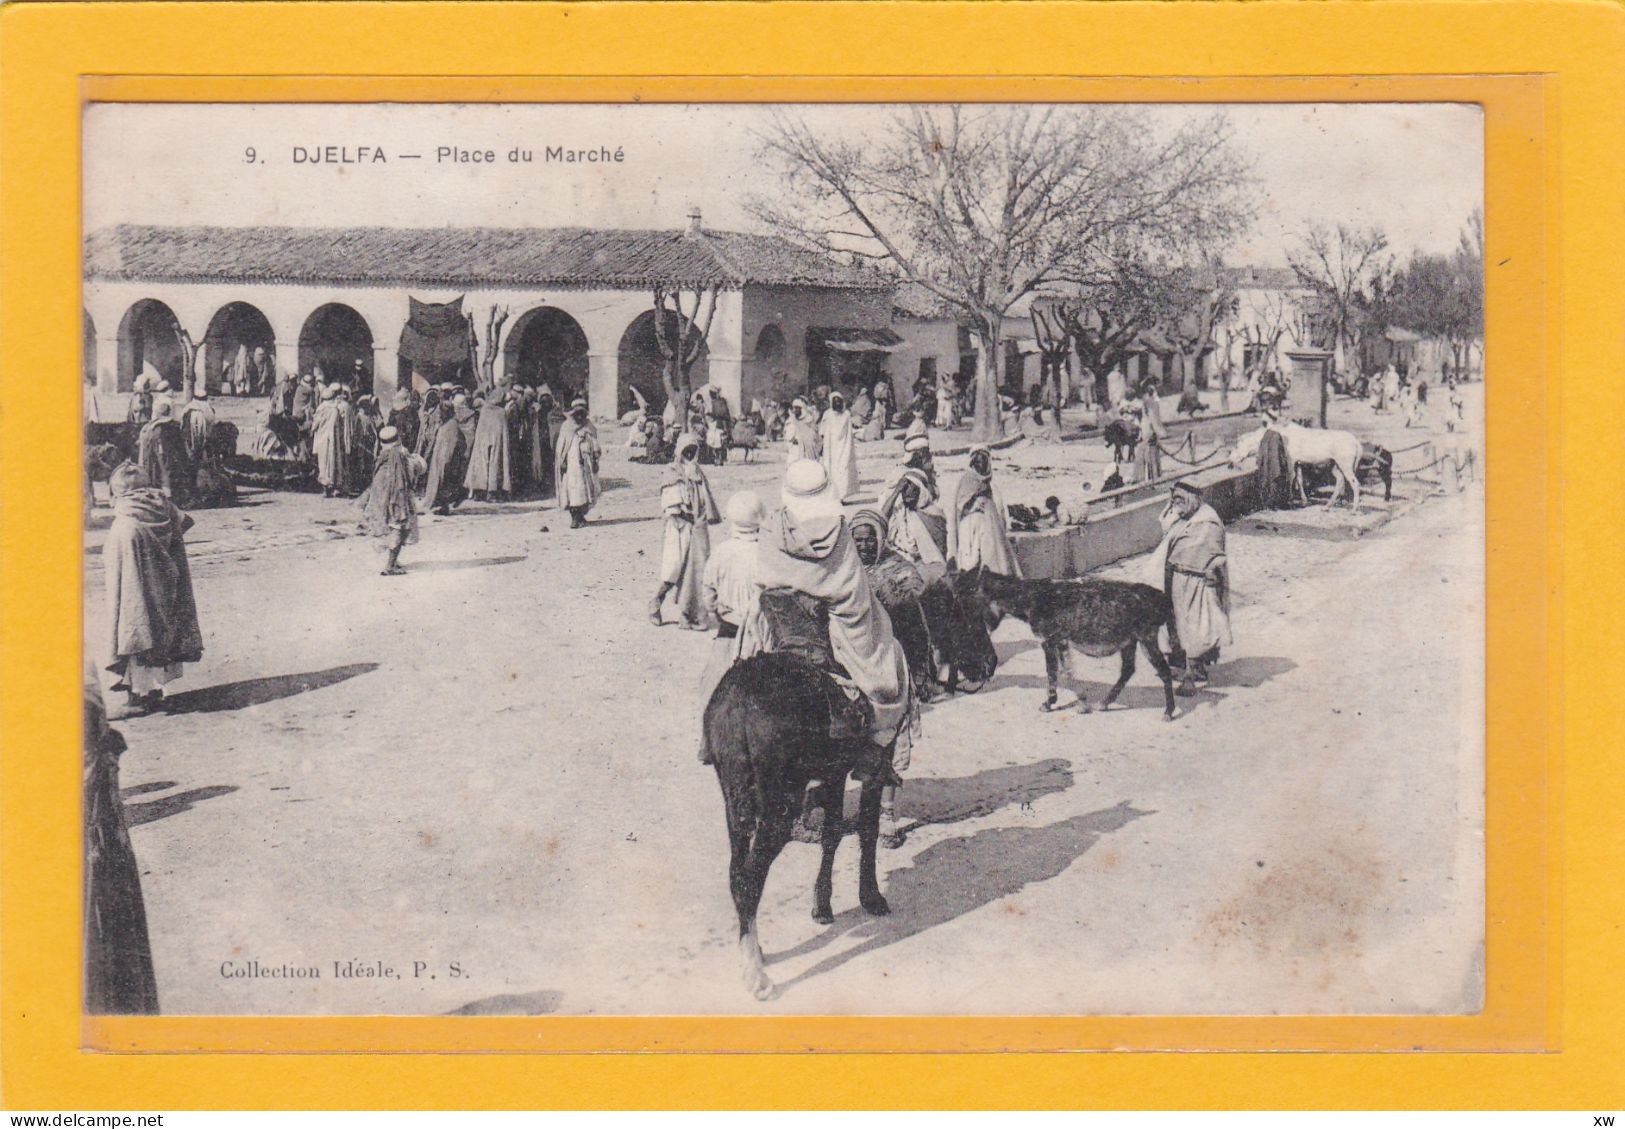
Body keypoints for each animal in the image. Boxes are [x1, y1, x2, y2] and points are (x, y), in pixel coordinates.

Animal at [1235, 422, 1365, 513]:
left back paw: (1354, 509)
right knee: (1340, 481)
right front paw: (1303, 501)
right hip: (1336, 465)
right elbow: (1299, 480)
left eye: (1236, 446)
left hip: (1345, 464)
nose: (1231, 461)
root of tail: (1357, 442)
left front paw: (1291, 501)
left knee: (1355, 483)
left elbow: (1291, 478)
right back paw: (1327, 506)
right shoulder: (1298, 463)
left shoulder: (1291, 460)